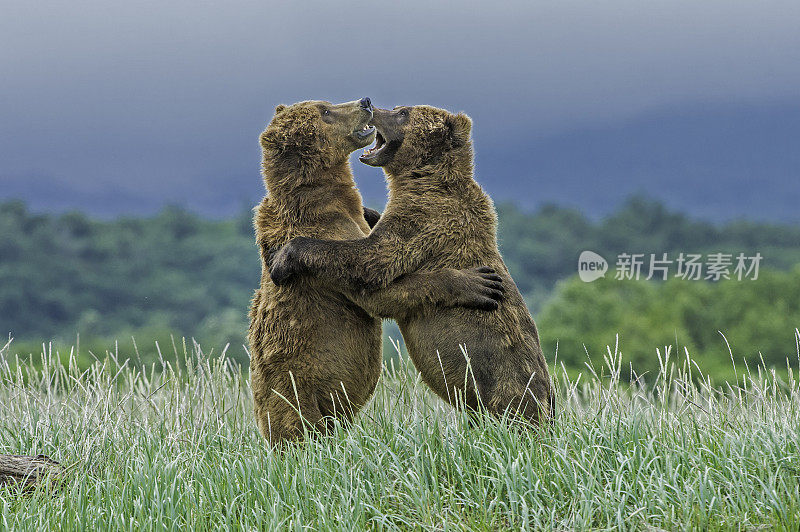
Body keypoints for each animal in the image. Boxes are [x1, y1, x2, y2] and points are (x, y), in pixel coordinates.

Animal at [268, 105, 556, 424]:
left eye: (403, 113)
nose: (372, 106)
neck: (421, 177)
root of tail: (550, 403)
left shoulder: (423, 218)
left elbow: (371, 260)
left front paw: (283, 258)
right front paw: (367, 211)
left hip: (508, 388)